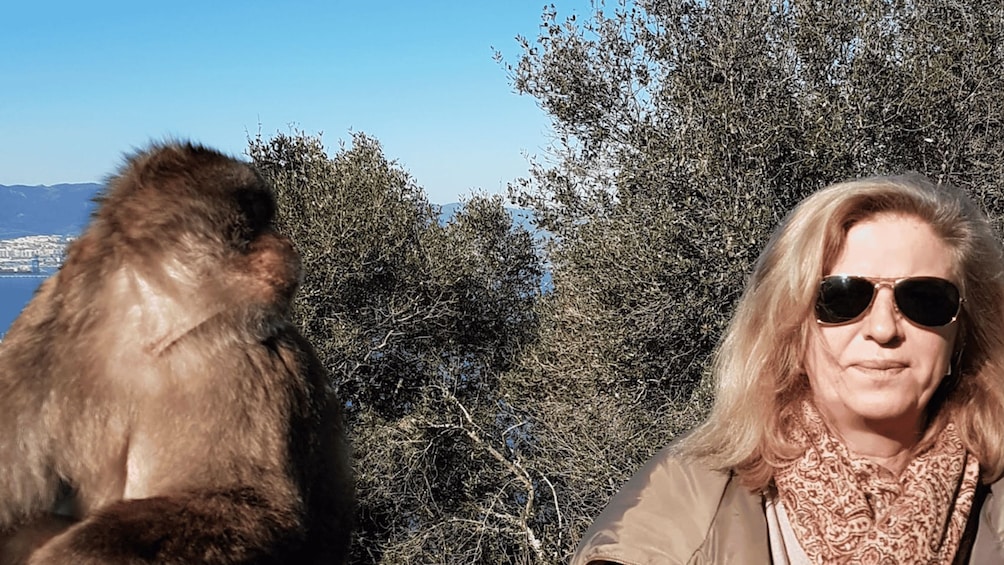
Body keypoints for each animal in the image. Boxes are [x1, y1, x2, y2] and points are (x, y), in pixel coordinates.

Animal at [0, 142, 352, 564]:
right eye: (252, 217)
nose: (286, 244)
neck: (147, 331)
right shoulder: (45, 337)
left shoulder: (246, 369)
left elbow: (253, 506)